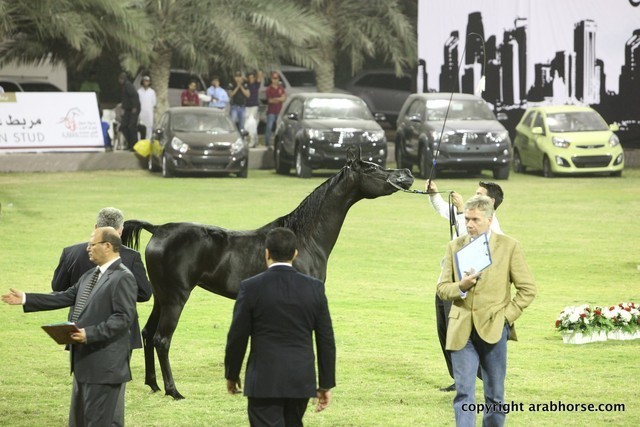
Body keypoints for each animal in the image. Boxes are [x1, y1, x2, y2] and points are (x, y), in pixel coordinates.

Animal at [122, 150, 414, 399]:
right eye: (372, 169)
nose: (407, 173)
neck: (303, 238)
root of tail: (158, 229)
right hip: (176, 299)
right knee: (162, 340)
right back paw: (174, 391)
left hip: (162, 298)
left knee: (148, 334)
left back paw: (154, 385)